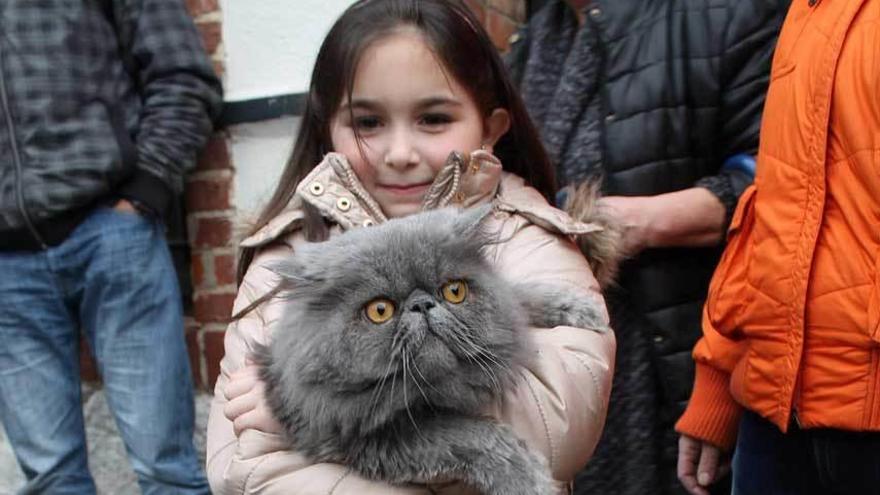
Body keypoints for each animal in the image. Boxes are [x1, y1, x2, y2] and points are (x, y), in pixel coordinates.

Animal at [254, 206, 604, 495]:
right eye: (379, 310)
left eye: (454, 291)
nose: (422, 304)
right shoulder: (364, 438)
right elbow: (478, 435)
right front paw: (528, 481)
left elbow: (520, 296)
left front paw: (581, 309)